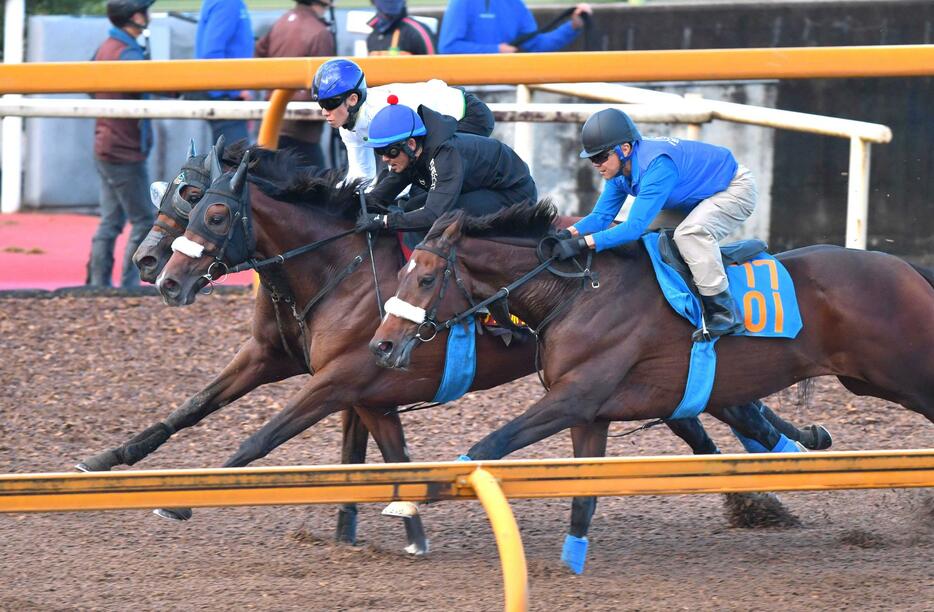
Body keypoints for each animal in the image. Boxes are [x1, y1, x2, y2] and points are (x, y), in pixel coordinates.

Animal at [372, 203, 934, 572]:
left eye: (425, 279)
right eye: (401, 273)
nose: (382, 344)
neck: (578, 294)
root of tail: (908, 268)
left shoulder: (572, 397)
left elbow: (491, 442)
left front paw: (419, 494)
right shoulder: (590, 413)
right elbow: (583, 495)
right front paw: (570, 562)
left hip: (906, 374)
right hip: (870, 381)